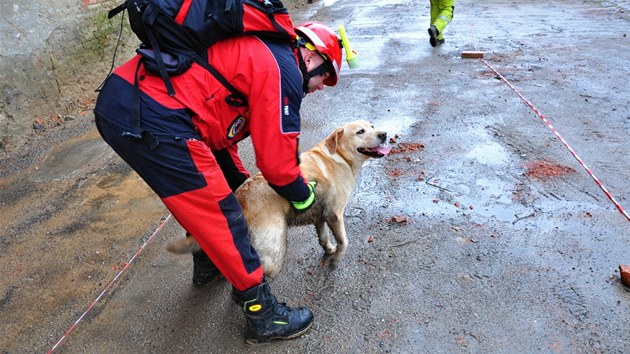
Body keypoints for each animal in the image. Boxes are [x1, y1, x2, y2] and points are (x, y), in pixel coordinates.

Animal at [165, 120, 388, 278]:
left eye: (372, 126)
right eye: (360, 132)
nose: (384, 134)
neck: (339, 156)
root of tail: (240, 196)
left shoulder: (320, 216)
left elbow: (323, 237)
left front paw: (329, 250)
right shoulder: (335, 215)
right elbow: (345, 242)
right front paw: (336, 260)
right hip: (274, 247)